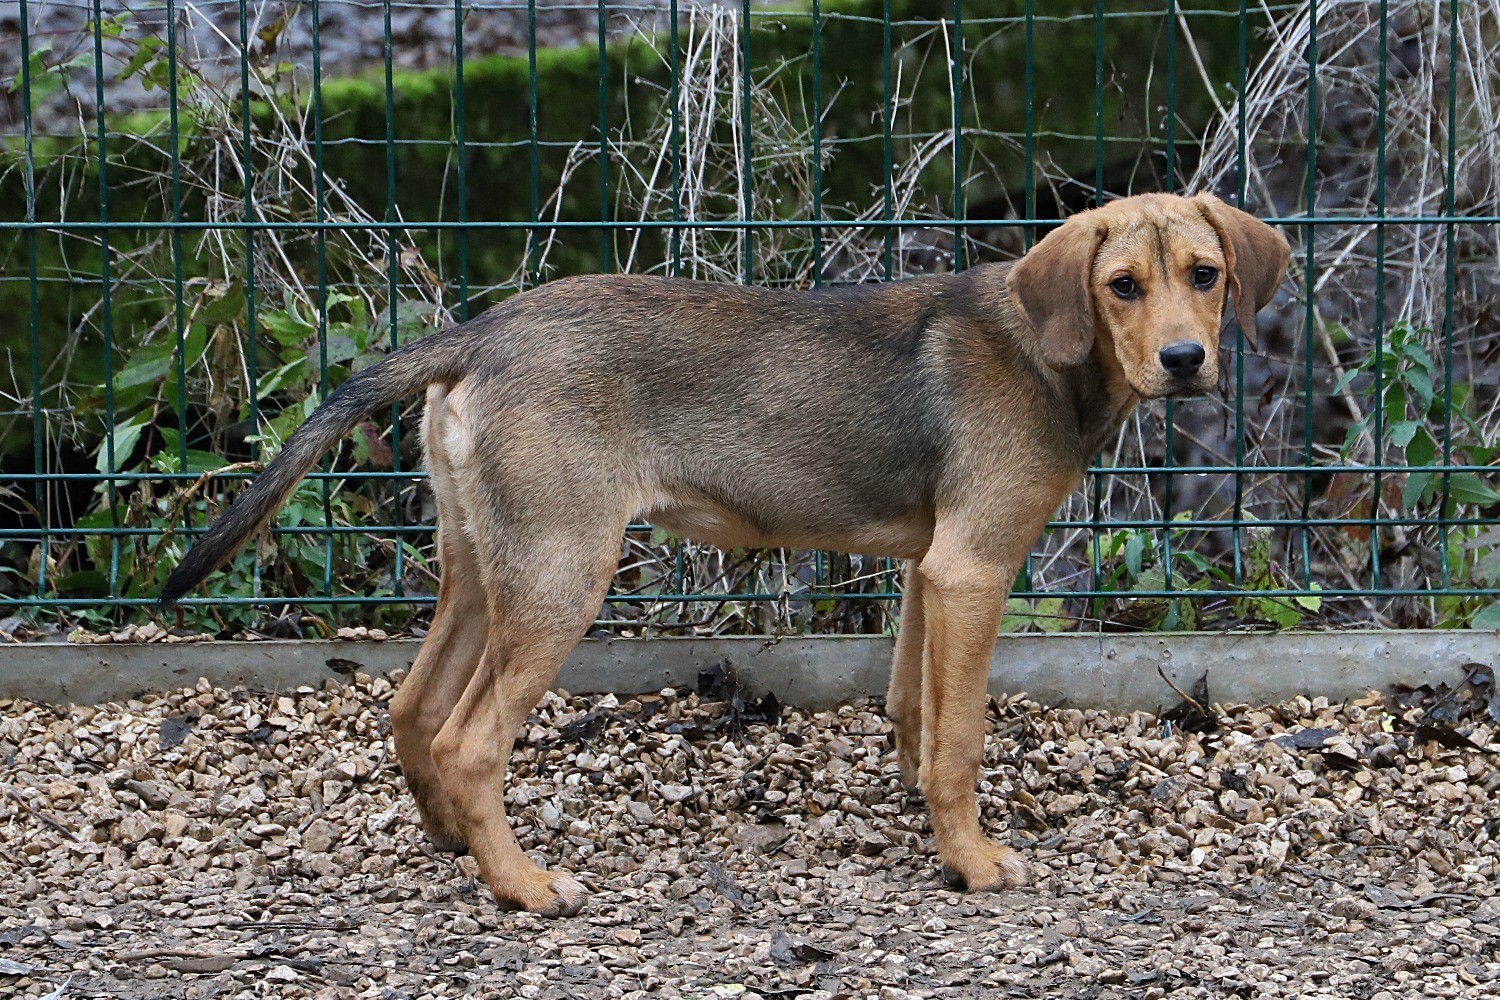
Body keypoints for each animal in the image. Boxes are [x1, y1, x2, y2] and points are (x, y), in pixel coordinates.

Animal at [161, 189, 1290, 917]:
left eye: (1204, 275)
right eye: (1121, 285)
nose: (1186, 360)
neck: (1044, 347)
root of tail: (476, 334)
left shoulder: (930, 568)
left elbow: (917, 708)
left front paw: (927, 816)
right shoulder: (974, 567)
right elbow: (963, 736)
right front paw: (973, 862)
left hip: (486, 564)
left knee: (412, 708)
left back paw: (458, 845)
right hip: (564, 573)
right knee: (469, 739)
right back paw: (524, 885)